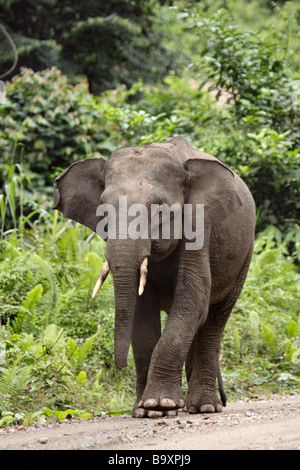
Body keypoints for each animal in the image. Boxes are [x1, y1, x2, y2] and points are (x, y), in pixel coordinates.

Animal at [54, 136, 255, 418]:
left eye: (160, 209)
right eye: (103, 209)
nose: (119, 367)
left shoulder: (199, 229)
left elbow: (193, 300)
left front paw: (162, 404)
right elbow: (142, 314)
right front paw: (144, 410)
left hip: (244, 256)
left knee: (214, 319)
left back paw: (204, 407)